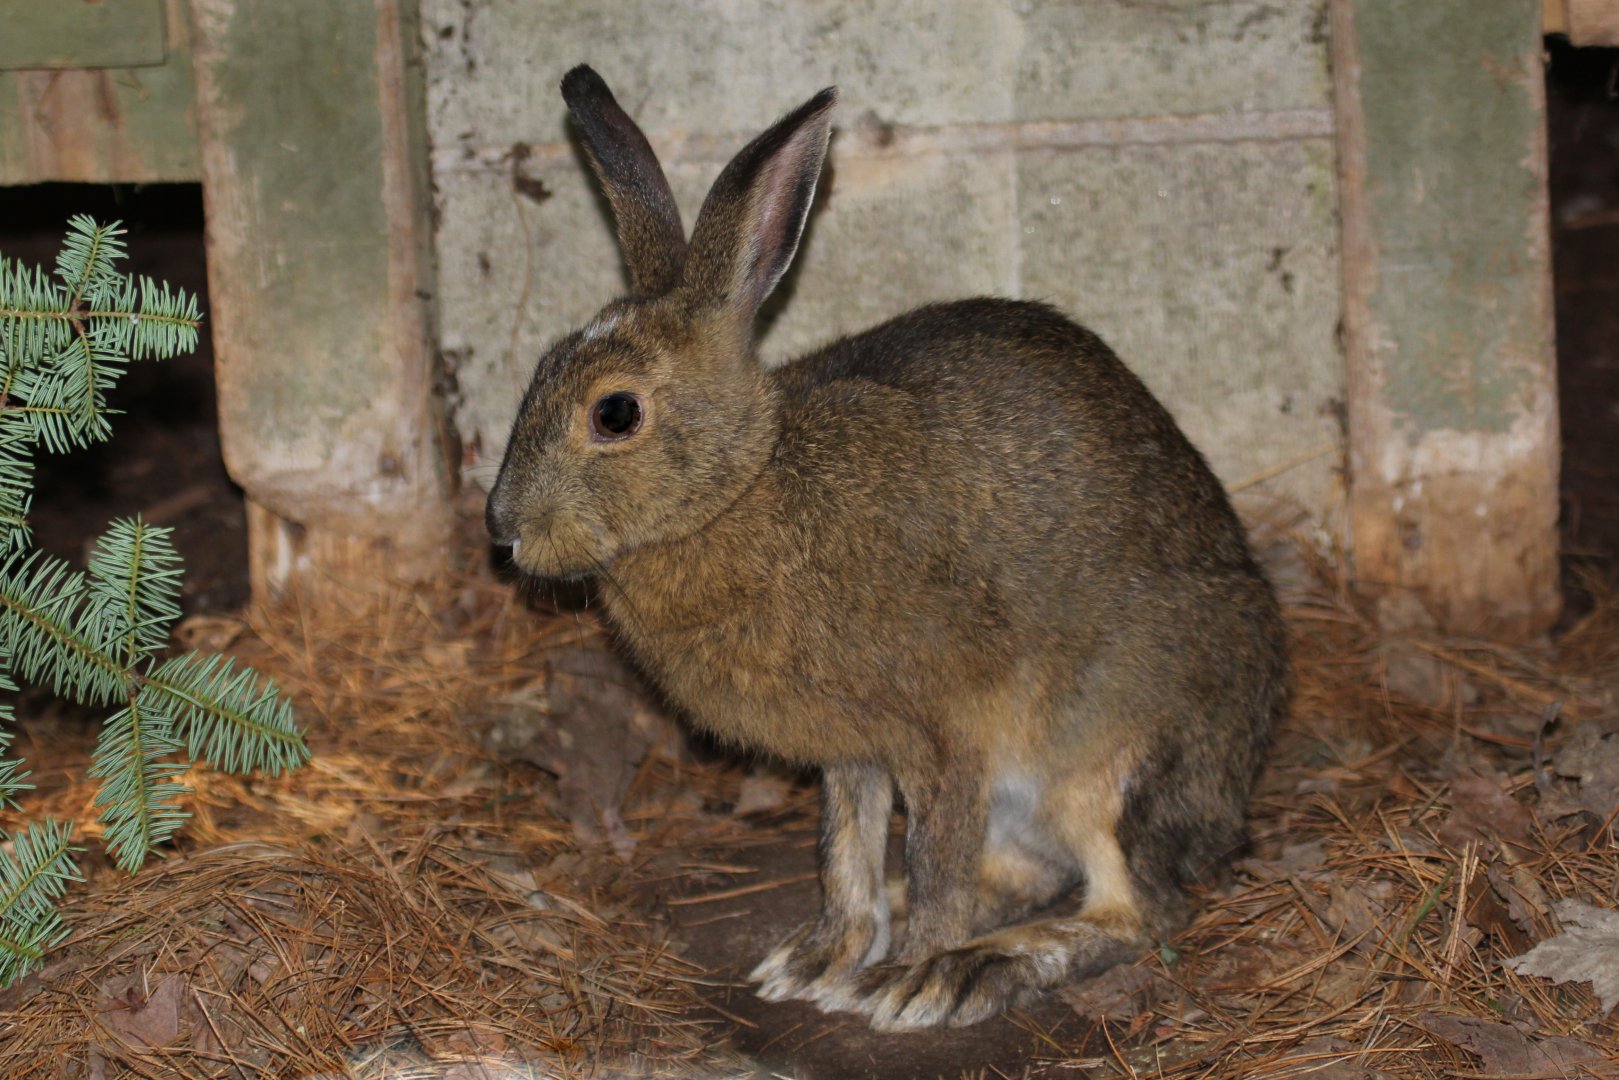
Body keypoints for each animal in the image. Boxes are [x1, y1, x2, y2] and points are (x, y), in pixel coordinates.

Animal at [485, 65, 1289, 1031]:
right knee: (1024, 872)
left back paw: (973, 967)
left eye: (614, 413)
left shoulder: (942, 736)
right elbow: (845, 854)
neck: (744, 489)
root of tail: (1234, 790)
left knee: (1135, 909)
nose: (501, 527)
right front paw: (821, 957)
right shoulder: (854, 752)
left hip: (1110, 756)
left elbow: (936, 858)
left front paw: (908, 980)